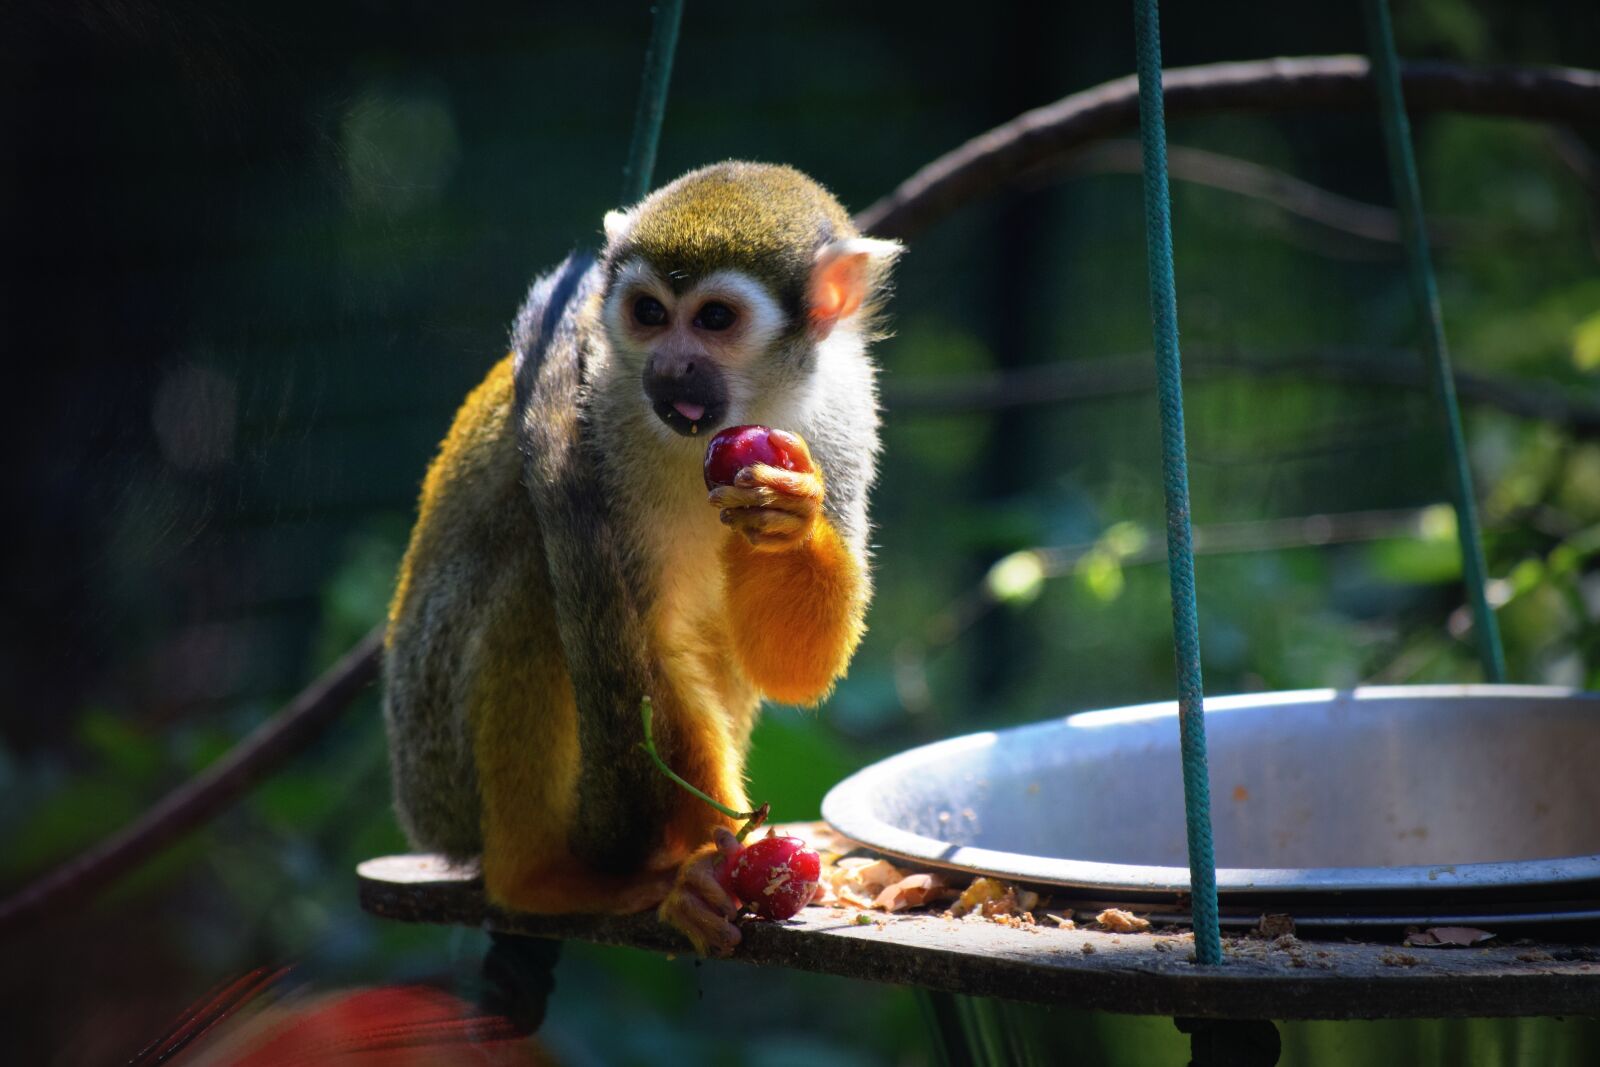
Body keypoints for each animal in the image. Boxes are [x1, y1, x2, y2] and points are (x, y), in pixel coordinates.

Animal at [382, 161, 901, 955]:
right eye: (650, 313)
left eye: (714, 319)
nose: (672, 366)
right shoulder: (595, 415)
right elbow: (651, 645)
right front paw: (709, 862)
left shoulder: (844, 410)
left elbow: (792, 670)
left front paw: (789, 518)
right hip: (435, 756)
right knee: (539, 584)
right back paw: (543, 877)